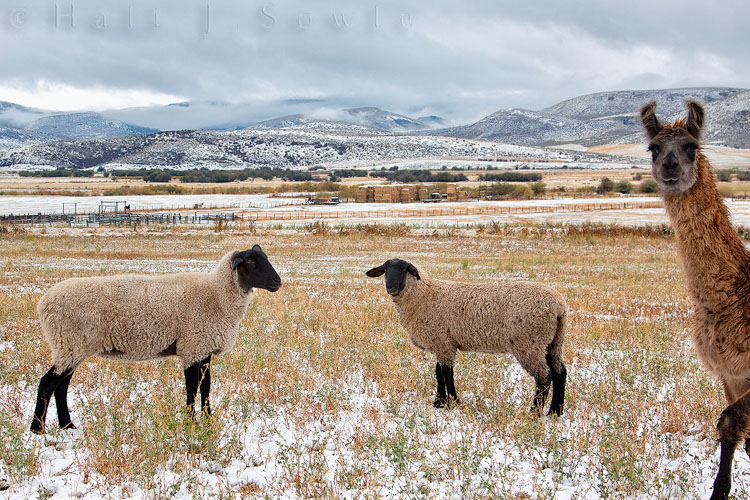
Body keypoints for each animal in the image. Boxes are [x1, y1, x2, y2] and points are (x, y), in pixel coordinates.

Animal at [30, 245, 281, 434]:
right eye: (250, 262)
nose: (277, 282)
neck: (217, 295)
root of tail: (43, 304)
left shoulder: (203, 349)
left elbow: (206, 387)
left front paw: (208, 421)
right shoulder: (191, 347)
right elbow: (192, 389)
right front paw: (190, 424)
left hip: (72, 348)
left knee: (61, 386)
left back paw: (67, 426)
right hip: (69, 344)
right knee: (47, 383)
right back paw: (37, 430)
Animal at [366, 258, 567, 415]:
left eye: (404, 269)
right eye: (384, 270)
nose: (391, 288)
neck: (424, 294)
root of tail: (559, 305)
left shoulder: (443, 343)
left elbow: (447, 374)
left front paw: (453, 403)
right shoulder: (442, 342)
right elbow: (438, 373)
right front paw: (439, 402)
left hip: (529, 343)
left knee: (544, 378)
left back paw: (534, 413)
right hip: (551, 342)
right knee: (560, 372)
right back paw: (555, 412)